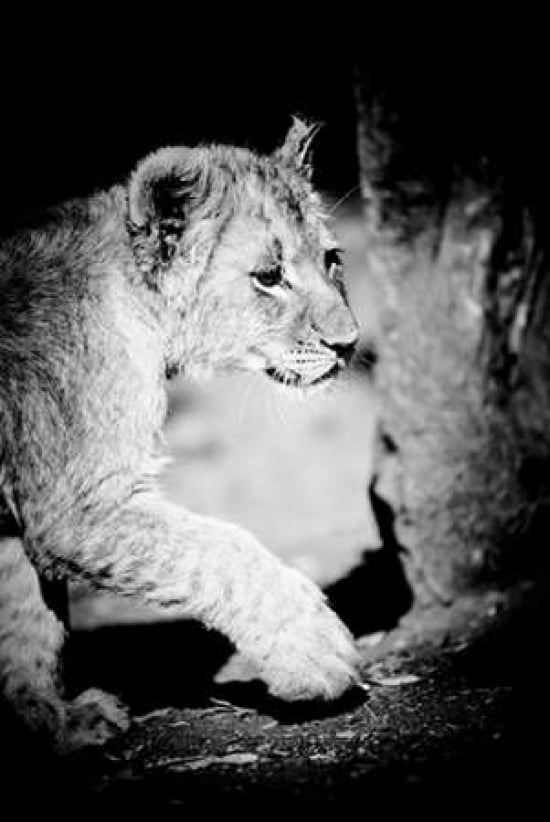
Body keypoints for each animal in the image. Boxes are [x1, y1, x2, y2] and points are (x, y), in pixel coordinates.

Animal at [0, 118, 361, 752]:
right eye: (270, 277)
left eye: (332, 260)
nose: (351, 344)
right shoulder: (79, 502)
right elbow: (221, 551)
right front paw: (315, 653)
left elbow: (22, 622)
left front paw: (50, 721)